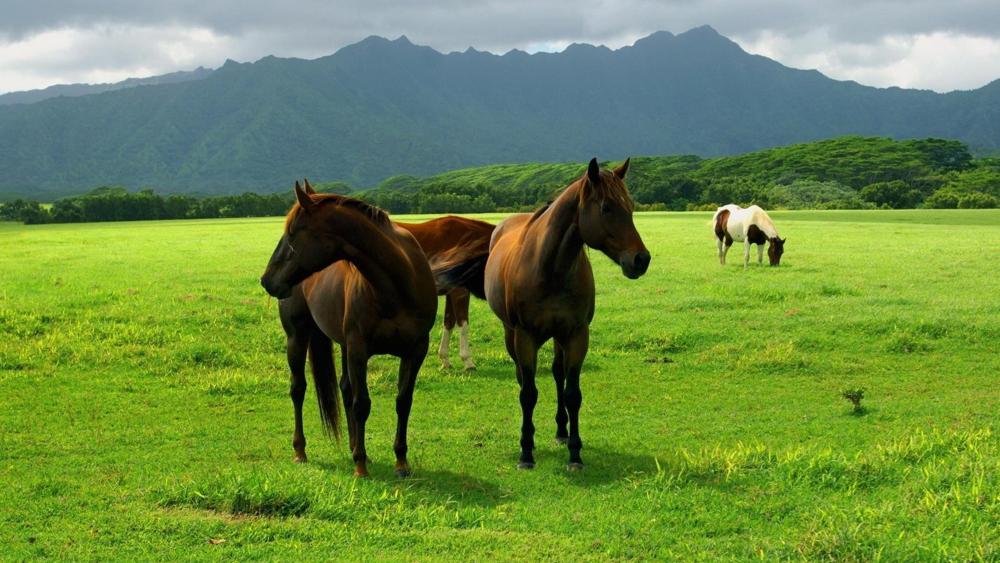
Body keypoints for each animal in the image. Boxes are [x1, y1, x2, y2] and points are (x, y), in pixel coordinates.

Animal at [260, 178, 436, 478]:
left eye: (293, 234)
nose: (267, 280)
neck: (397, 285)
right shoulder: (358, 349)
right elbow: (361, 403)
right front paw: (361, 466)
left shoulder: (416, 350)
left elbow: (403, 402)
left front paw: (401, 461)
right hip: (298, 337)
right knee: (299, 388)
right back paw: (301, 451)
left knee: (344, 388)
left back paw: (354, 446)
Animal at [396, 215, 494, 370]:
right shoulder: (460, 292)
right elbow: (463, 323)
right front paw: (467, 361)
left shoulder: (450, 292)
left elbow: (449, 322)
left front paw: (445, 359)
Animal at [466, 159, 652, 472]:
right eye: (607, 208)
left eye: (631, 206)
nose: (641, 259)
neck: (550, 268)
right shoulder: (525, 336)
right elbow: (528, 393)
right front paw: (526, 452)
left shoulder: (576, 334)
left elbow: (572, 393)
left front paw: (575, 453)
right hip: (511, 334)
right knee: (522, 378)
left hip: (557, 337)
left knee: (557, 374)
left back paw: (561, 431)